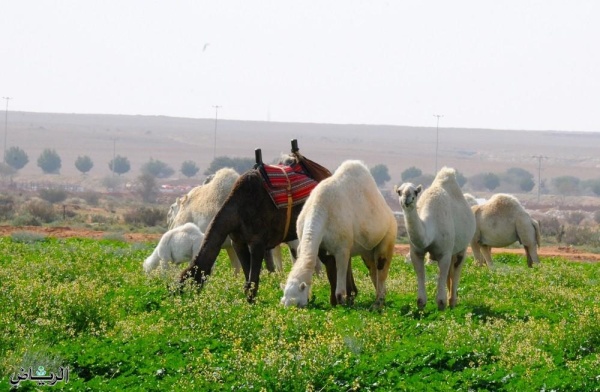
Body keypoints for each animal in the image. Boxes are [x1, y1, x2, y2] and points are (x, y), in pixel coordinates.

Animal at [282, 160, 398, 310]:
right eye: (283, 302)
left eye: (297, 303)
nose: (289, 310)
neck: (320, 212)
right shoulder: (322, 249)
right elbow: (330, 273)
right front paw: (335, 302)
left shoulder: (342, 249)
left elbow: (340, 272)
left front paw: (342, 300)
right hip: (367, 250)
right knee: (372, 268)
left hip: (389, 235)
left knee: (381, 265)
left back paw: (378, 303)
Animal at [396, 167, 476, 310]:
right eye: (399, 191)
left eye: (415, 192)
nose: (407, 198)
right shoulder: (416, 252)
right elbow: (421, 275)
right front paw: (421, 306)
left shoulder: (444, 253)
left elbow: (442, 278)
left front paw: (442, 306)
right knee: (451, 272)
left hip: (463, 247)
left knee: (457, 270)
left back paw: (452, 302)